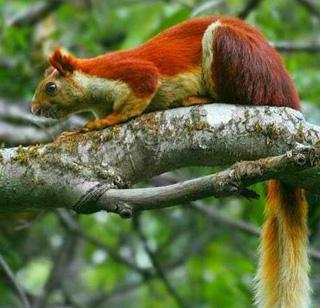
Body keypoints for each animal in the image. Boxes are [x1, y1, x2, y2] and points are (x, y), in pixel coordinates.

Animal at [31, 15, 310, 308]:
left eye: (51, 87)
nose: (34, 109)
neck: (94, 85)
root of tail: (286, 94)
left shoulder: (133, 74)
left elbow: (139, 94)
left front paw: (91, 126)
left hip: (236, 54)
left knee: (235, 94)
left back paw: (197, 98)